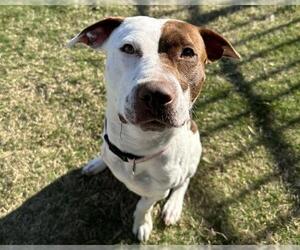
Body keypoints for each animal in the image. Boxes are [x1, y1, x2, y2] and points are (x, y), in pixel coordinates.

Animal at [67, 16, 239, 242]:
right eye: (128, 48)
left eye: (188, 52)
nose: (156, 94)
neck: (135, 151)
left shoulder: (159, 191)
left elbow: (143, 205)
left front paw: (142, 223)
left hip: (194, 155)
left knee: (184, 181)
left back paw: (173, 207)